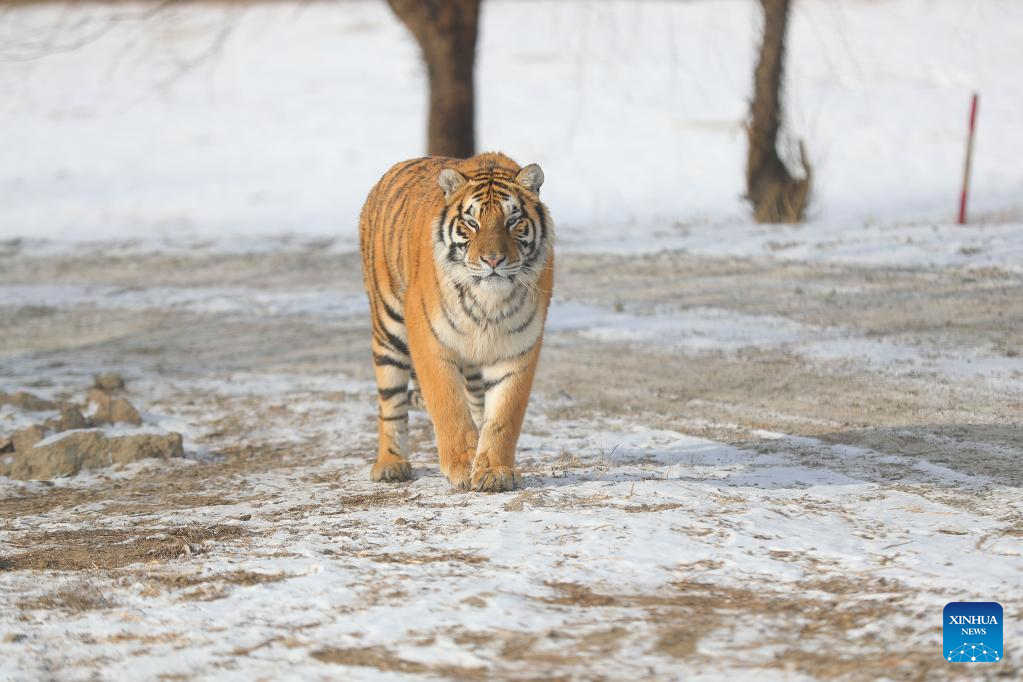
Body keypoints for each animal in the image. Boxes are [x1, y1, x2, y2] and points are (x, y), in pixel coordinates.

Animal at [358, 150, 552, 490]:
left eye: (513, 221)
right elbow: (448, 405)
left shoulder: (518, 349)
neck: (488, 302)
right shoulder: (428, 340)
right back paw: (391, 464)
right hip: (388, 328)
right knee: (390, 403)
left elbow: (503, 416)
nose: (493, 260)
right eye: (472, 223)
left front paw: (494, 470)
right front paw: (462, 463)